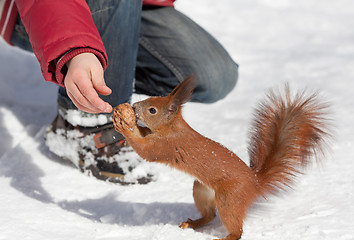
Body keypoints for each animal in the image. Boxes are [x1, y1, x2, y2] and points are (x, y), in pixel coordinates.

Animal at [112, 76, 330, 240]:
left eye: (152, 110)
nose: (134, 106)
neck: (172, 127)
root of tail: (255, 183)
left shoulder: (165, 146)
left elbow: (145, 150)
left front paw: (123, 126)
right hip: (201, 189)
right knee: (210, 215)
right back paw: (192, 223)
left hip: (228, 197)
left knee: (236, 228)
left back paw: (227, 237)